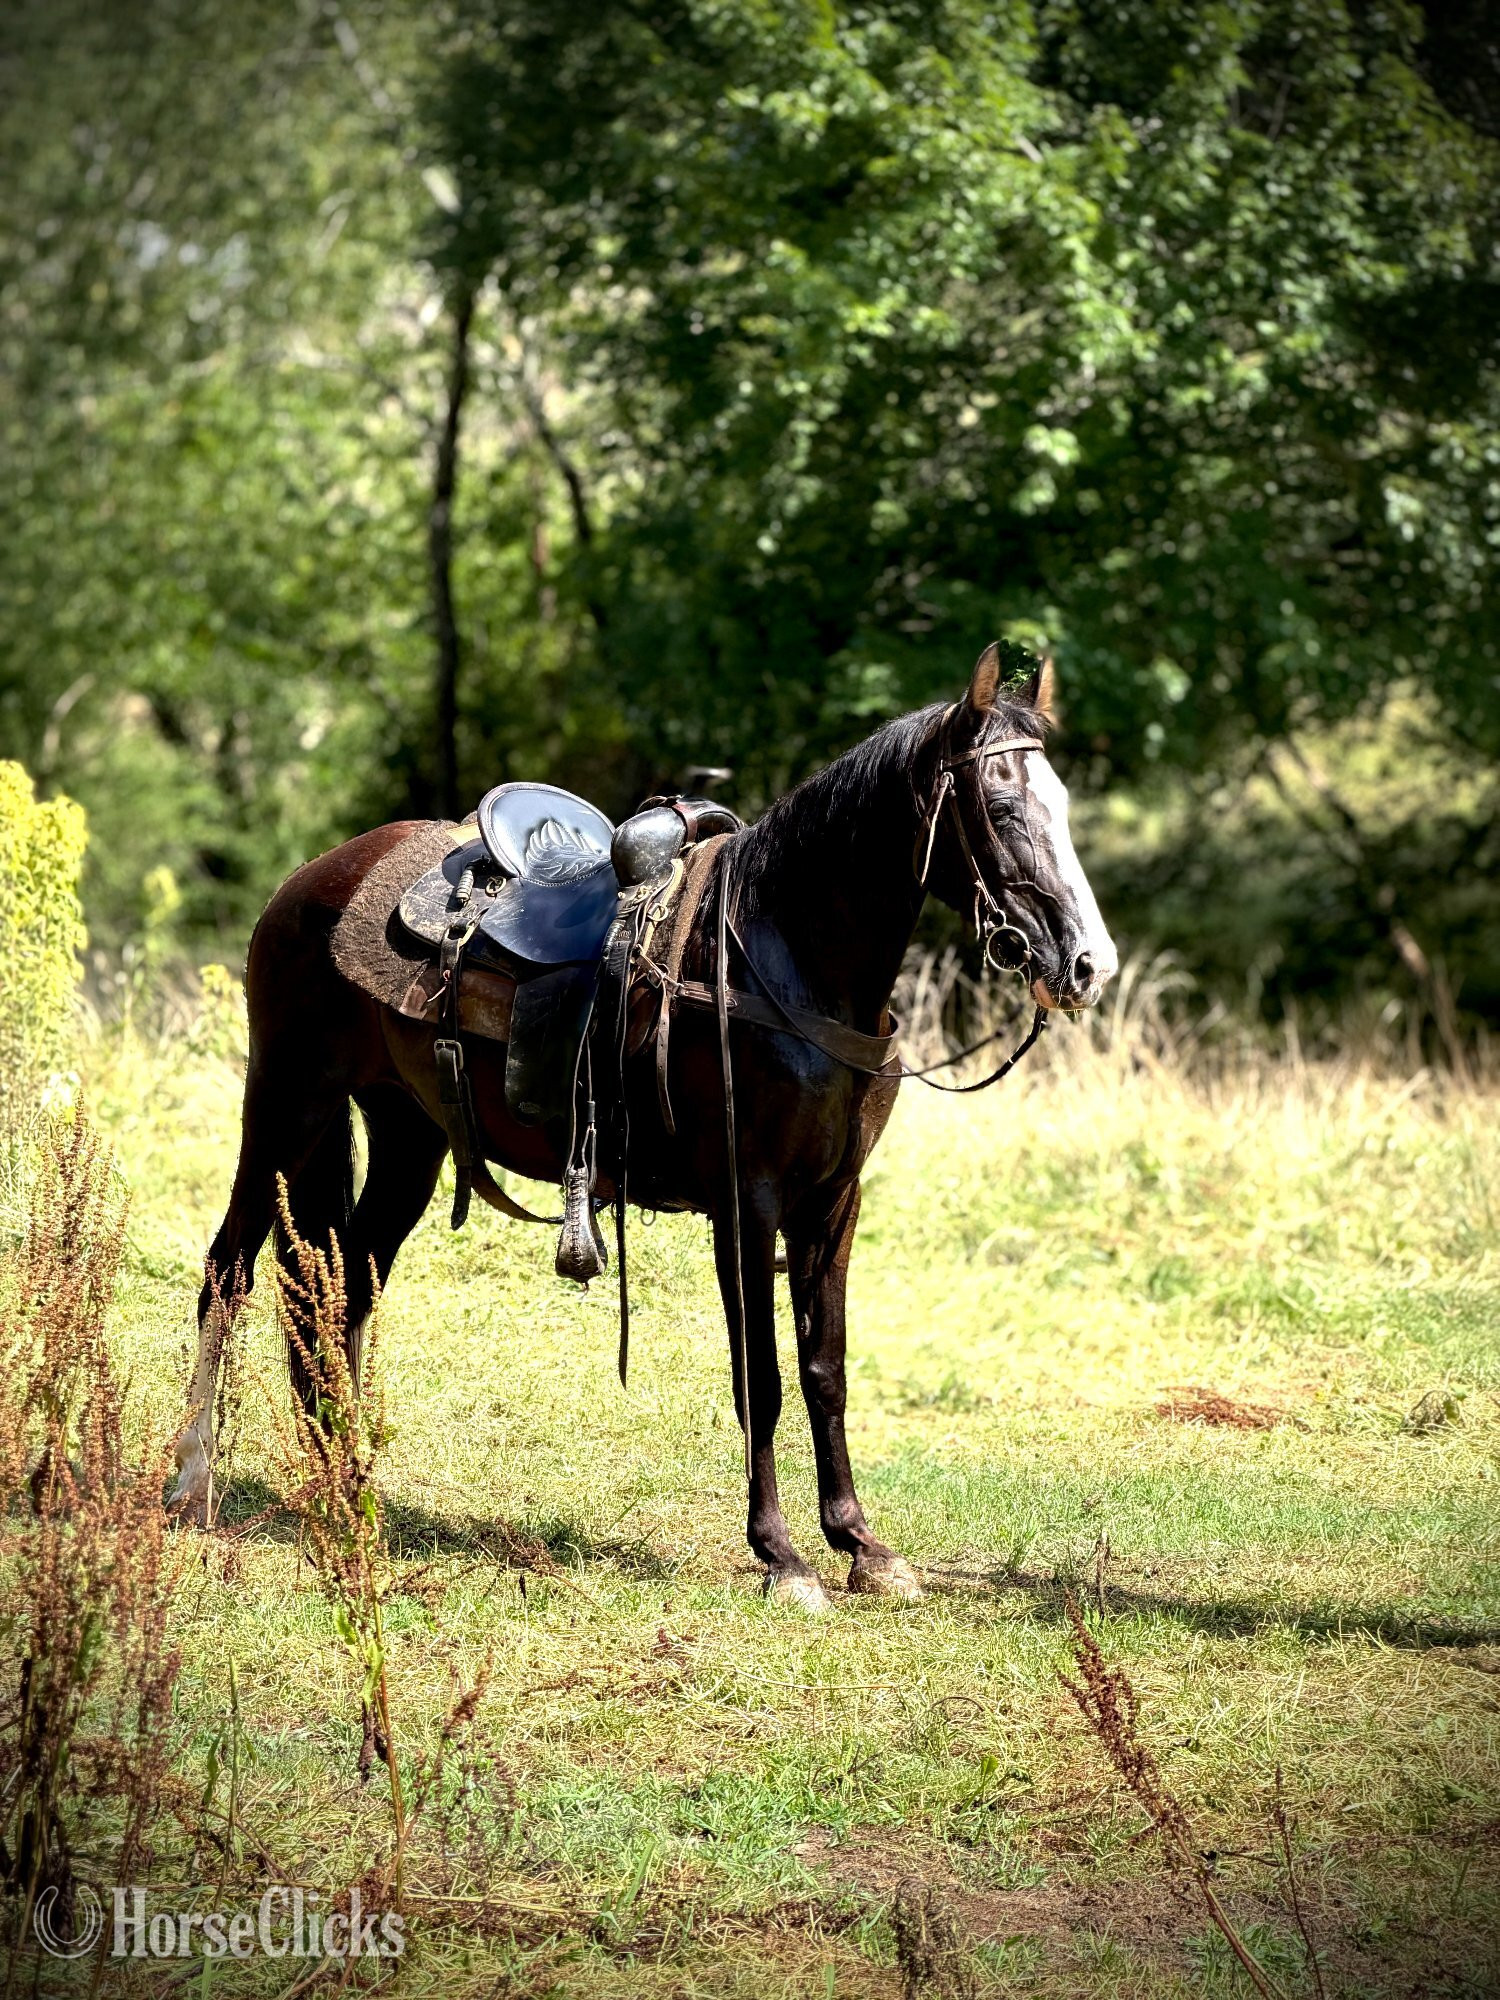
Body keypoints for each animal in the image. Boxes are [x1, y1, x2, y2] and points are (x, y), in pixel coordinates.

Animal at [170, 643, 1117, 1610]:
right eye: (1002, 805)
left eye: (1063, 804)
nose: (1087, 965)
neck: (784, 959)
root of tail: (310, 879)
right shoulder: (748, 1203)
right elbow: (760, 1375)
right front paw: (781, 1556)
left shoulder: (834, 1202)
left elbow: (826, 1369)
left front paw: (859, 1543)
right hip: (286, 1104)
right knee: (229, 1271)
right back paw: (192, 1481)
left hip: (408, 1134)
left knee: (345, 1285)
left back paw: (346, 1477)